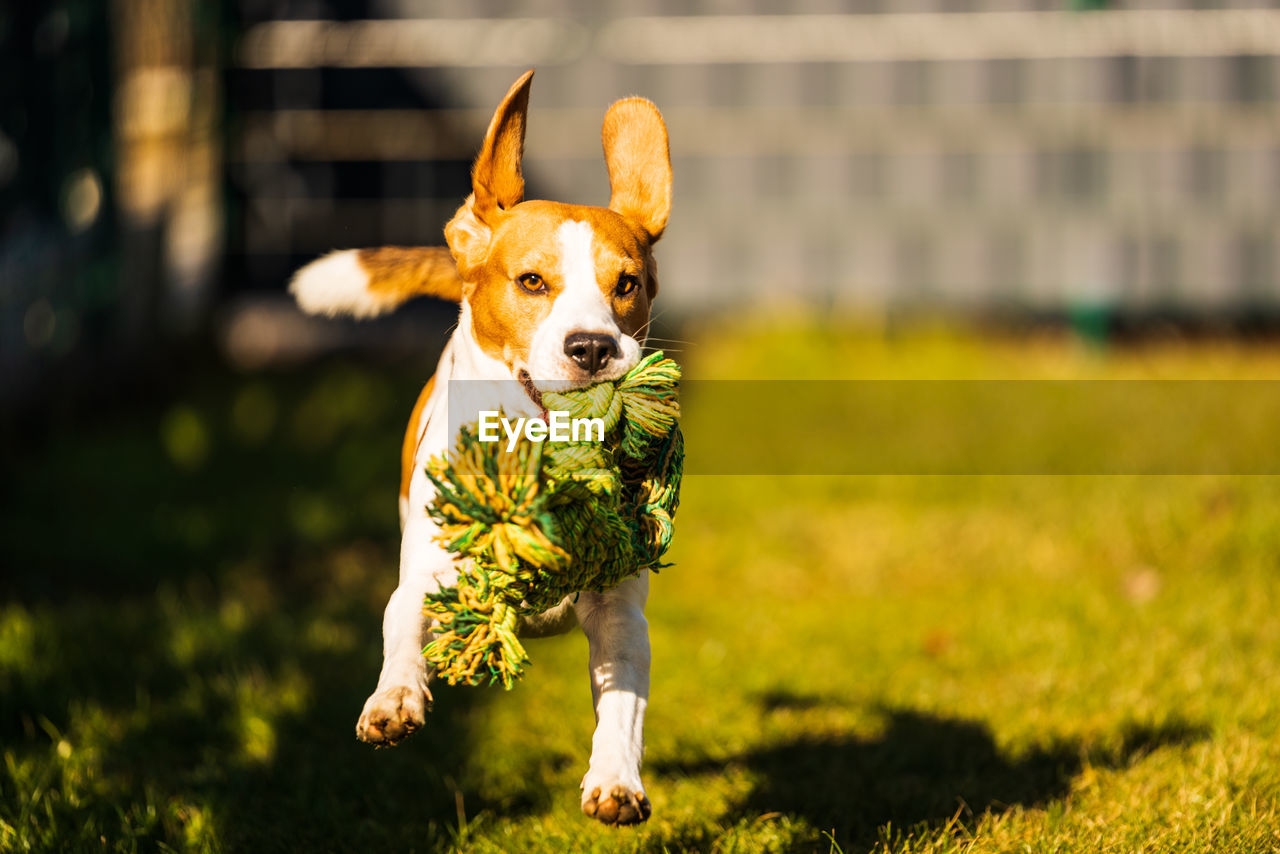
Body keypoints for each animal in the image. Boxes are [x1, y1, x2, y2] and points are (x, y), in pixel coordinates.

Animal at [289, 73, 670, 829]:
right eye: (531, 281)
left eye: (626, 284)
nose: (593, 348)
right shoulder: (426, 576)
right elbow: (402, 625)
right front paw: (394, 699)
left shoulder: (621, 611)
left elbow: (623, 703)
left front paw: (616, 781)